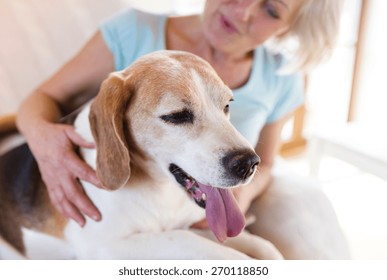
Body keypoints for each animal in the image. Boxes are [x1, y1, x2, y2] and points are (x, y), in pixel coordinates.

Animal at [0, 49, 284, 258]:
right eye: (177, 116)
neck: (160, 191)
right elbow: (200, 245)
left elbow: (265, 246)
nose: (248, 163)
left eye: (226, 105)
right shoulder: (107, 247)